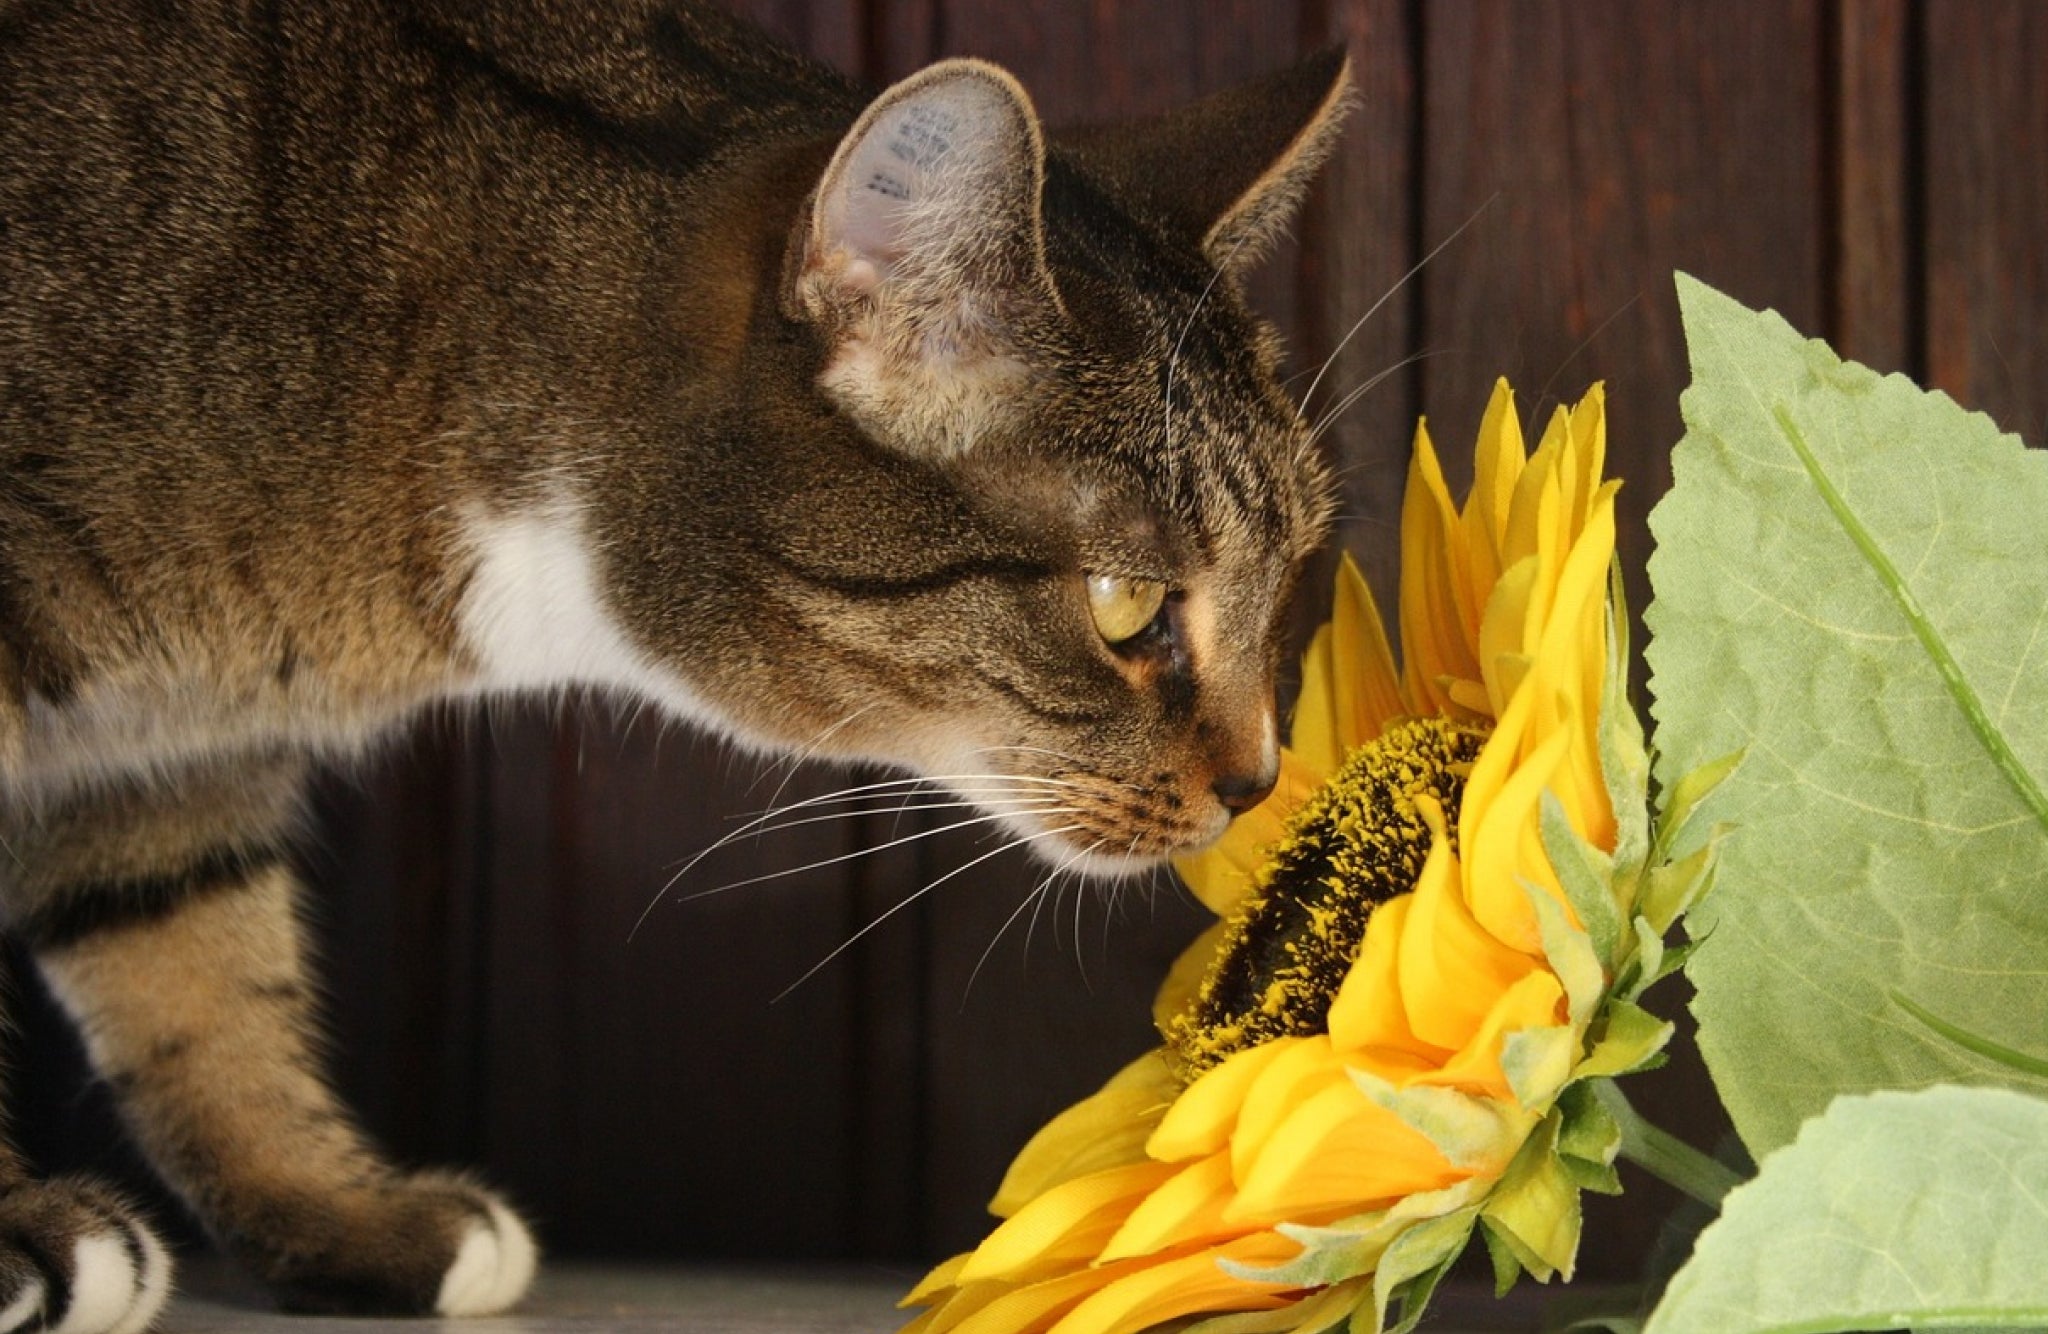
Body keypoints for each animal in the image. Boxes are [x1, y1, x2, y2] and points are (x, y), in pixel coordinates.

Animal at [0, 0, 1351, 1327]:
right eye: (1126, 606)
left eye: (1288, 572)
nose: (1257, 780)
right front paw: (28, 1236)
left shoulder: (175, 747)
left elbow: (194, 954)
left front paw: (338, 1214)